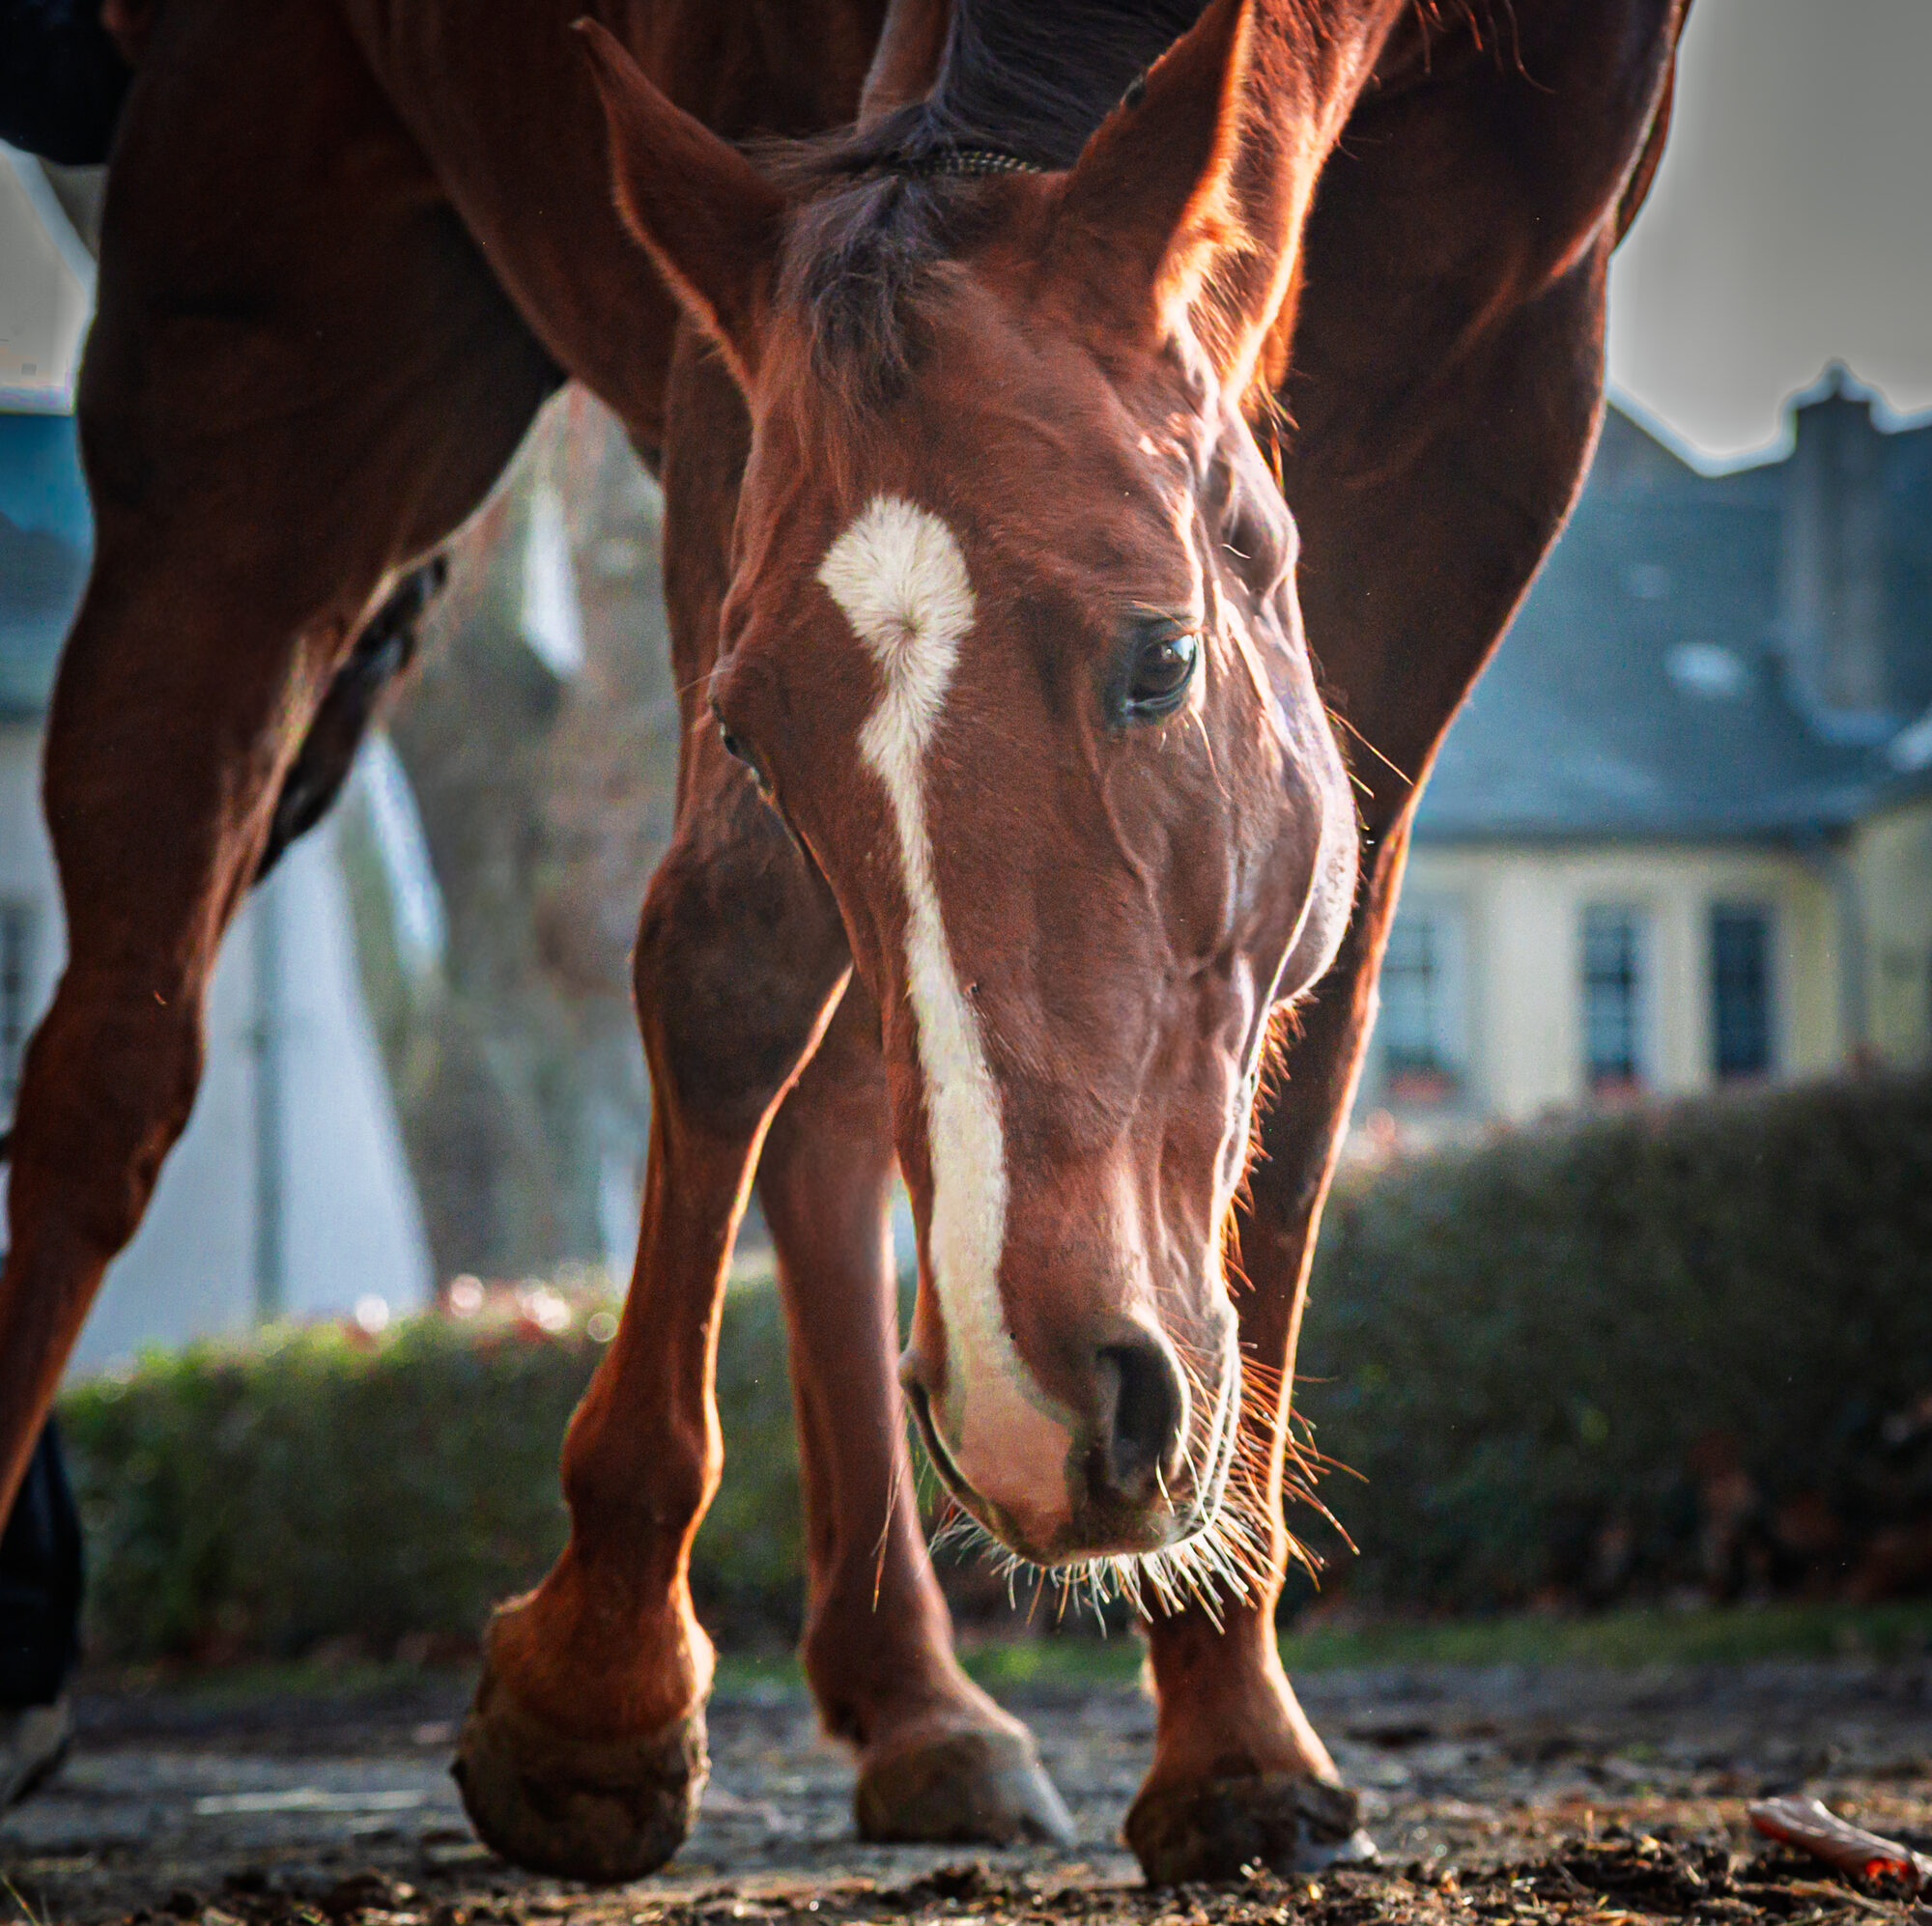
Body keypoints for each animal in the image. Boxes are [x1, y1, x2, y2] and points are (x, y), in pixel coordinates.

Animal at [0, 0, 1688, 1886]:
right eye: (749, 732)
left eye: (1165, 658)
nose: (1040, 1405)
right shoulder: (725, 346)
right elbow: (725, 967)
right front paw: (597, 1679)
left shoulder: (1492, 406)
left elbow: (1313, 1032)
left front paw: (1235, 1715)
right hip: (273, 375)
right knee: (111, 1066)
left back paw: (916, 1693)